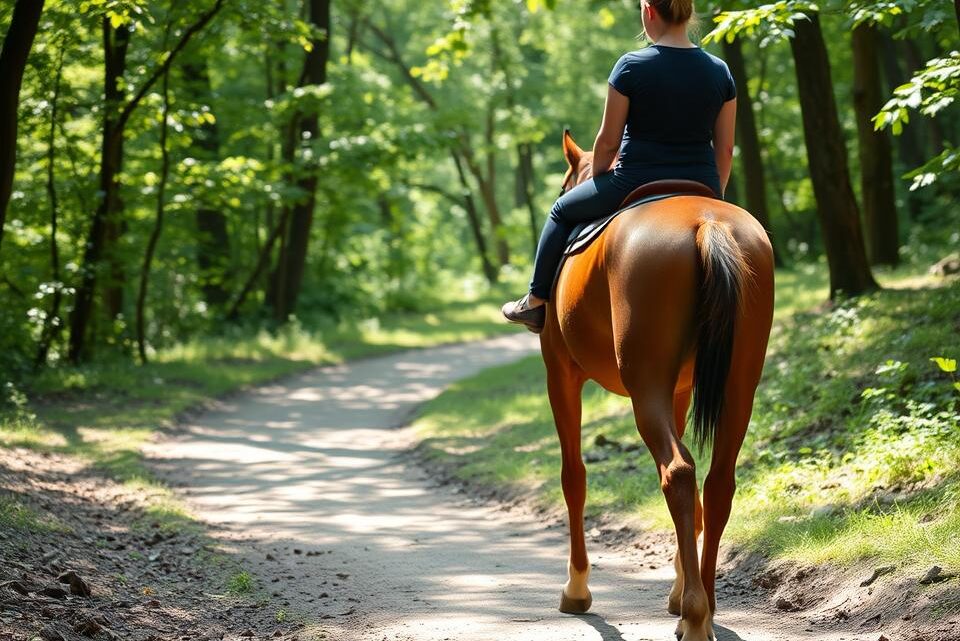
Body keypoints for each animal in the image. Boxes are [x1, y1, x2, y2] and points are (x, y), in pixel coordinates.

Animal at [541, 130, 775, 641]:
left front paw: (577, 588)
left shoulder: (559, 372)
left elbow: (573, 477)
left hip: (644, 386)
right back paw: (703, 604)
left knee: (678, 473)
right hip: (738, 386)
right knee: (716, 482)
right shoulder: (681, 391)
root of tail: (707, 223)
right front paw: (678, 585)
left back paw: (695, 614)